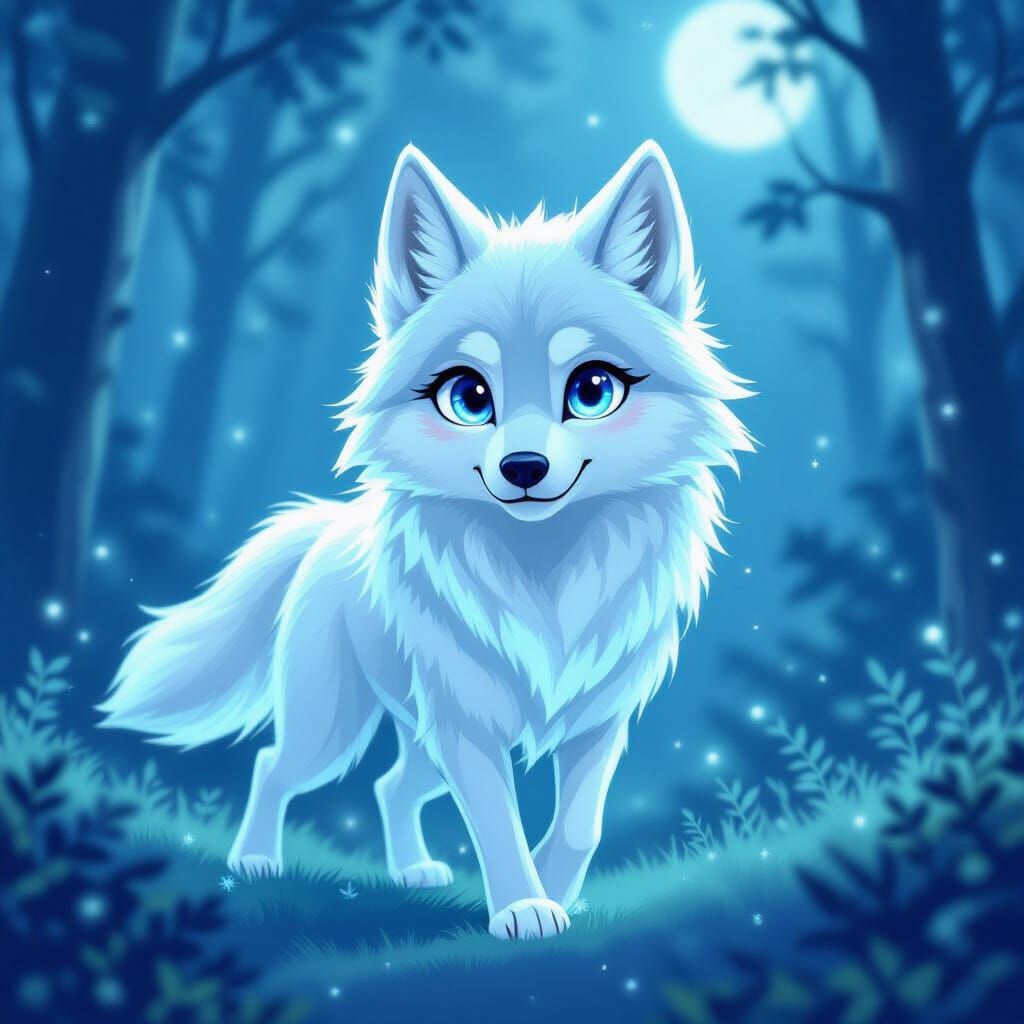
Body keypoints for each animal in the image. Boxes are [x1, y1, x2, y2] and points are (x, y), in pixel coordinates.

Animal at [100, 140, 752, 940]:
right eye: (468, 397)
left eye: (593, 390)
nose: (523, 468)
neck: (546, 577)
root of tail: (328, 525)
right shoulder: (466, 725)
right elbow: (498, 820)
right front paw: (524, 907)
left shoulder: (599, 722)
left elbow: (579, 825)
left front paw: (556, 891)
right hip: (336, 726)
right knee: (273, 767)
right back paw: (254, 860)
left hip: (416, 736)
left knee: (389, 787)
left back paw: (412, 870)